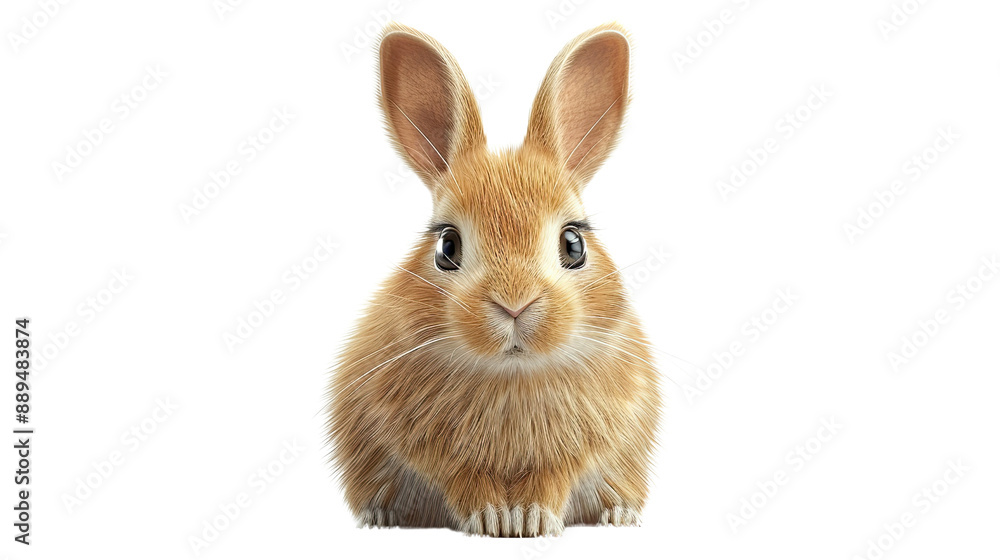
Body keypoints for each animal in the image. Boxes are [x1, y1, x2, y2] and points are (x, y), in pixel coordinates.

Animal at [326, 21, 661, 537]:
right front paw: (493, 519)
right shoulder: (426, 443)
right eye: (447, 246)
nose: (514, 303)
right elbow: (463, 476)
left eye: (573, 244)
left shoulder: (582, 445)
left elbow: (552, 476)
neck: (512, 373)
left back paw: (618, 515)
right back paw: (381, 518)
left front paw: (530, 518)